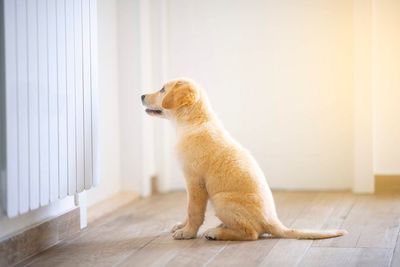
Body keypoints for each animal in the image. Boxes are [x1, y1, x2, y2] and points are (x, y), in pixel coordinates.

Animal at [141, 78, 346, 242]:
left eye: (162, 90)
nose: (141, 95)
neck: (194, 121)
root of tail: (274, 222)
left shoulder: (195, 182)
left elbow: (194, 211)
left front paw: (187, 232)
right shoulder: (192, 185)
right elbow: (188, 209)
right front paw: (182, 226)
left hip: (221, 199)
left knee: (251, 233)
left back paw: (216, 233)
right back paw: (221, 227)